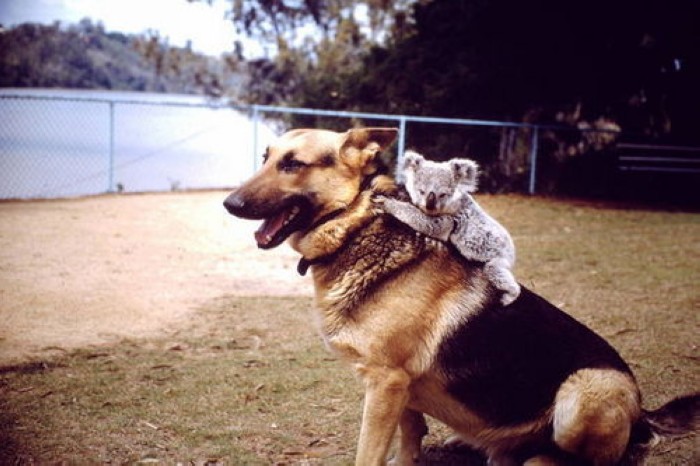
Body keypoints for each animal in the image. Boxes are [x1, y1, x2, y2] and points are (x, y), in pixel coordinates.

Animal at [378, 150, 520, 306]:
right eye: (421, 191)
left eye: (442, 195)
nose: (430, 204)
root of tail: (512, 252)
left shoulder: (450, 221)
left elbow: (428, 224)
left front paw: (386, 203)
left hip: (498, 260)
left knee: (497, 272)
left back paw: (509, 297)